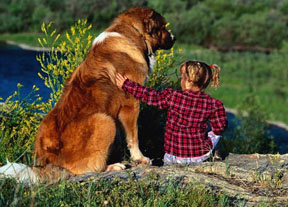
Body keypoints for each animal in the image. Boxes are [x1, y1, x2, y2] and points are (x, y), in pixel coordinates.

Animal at [35, 7, 176, 174]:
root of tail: (49, 156)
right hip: (105, 120)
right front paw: (140, 158)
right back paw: (113, 166)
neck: (133, 32)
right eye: (163, 27)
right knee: (89, 167)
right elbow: (133, 136)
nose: (174, 38)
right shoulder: (131, 104)